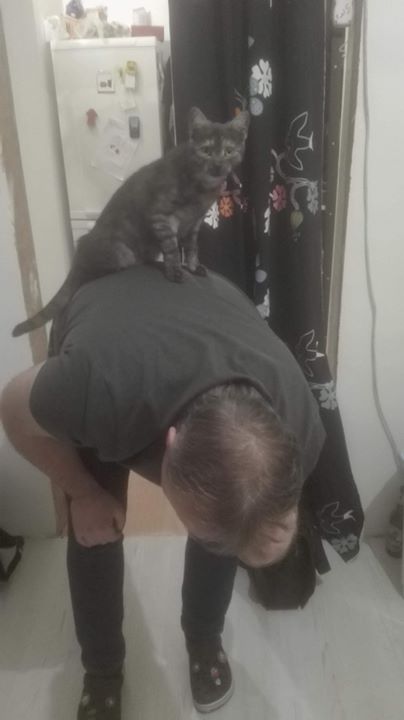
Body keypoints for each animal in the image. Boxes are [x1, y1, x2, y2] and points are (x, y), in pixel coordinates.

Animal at [12, 107, 250, 337]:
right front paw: (174, 272)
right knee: (94, 273)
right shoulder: (162, 216)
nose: (218, 165)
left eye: (229, 151)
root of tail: (79, 254)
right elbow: (173, 248)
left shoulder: (195, 222)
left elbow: (192, 247)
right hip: (120, 252)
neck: (202, 189)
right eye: (207, 151)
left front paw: (192, 266)